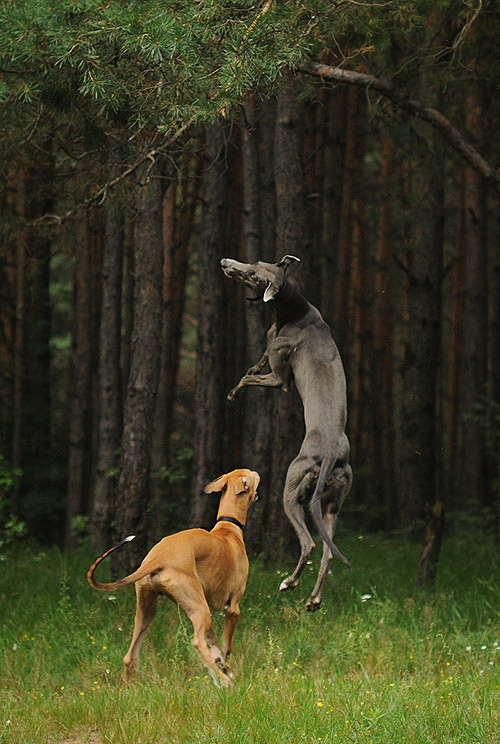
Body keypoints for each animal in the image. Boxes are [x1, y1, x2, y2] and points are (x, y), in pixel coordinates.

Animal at [88, 468, 260, 688]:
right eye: (251, 475)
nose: (256, 472)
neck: (228, 528)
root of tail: (157, 558)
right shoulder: (233, 608)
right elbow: (226, 646)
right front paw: (226, 669)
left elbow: (213, 640)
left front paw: (219, 660)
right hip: (199, 609)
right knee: (198, 644)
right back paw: (224, 681)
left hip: (149, 611)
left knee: (130, 655)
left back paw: (130, 688)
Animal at [221, 256, 354, 612]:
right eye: (255, 262)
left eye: (253, 275)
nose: (225, 262)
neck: (295, 311)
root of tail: (331, 454)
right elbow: (257, 361)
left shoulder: (280, 377)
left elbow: (248, 377)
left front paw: (234, 393)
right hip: (333, 502)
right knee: (327, 553)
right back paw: (313, 600)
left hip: (291, 491)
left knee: (309, 545)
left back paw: (289, 582)